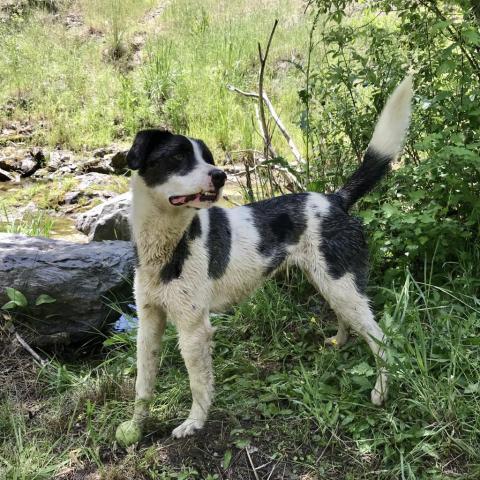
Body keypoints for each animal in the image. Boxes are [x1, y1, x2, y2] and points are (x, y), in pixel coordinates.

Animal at [115, 76, 412, 446]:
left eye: (206, 158)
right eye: (178, 156)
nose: (219, 176)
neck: (168, 244)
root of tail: (335, 200)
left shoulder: (194, 328)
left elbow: (199, 384)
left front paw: (194, 423)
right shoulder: (149, 321)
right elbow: (143, 383)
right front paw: (135, 426)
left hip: (342, 284)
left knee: (382, 341)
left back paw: (381, 392)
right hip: (330, 282)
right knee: (349, 320)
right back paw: (339, 342)